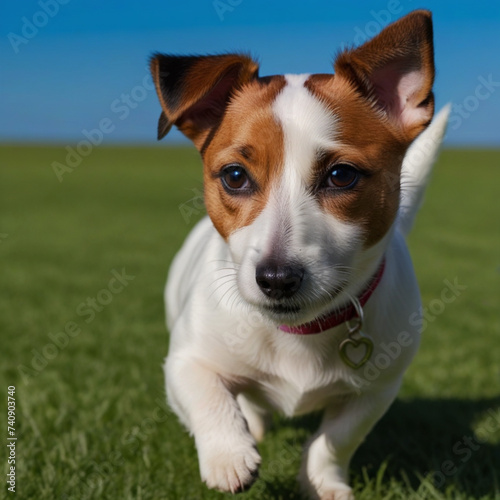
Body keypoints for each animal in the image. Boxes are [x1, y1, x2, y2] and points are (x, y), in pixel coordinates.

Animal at [151, 9, 450, 498]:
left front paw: (320, 482)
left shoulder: (377, 390)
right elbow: (207, 393)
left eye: (342, 175)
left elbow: (336, 439)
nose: (276, 279)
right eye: (235, 176)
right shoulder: (185, 361)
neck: (300, 332)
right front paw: (228, 455)